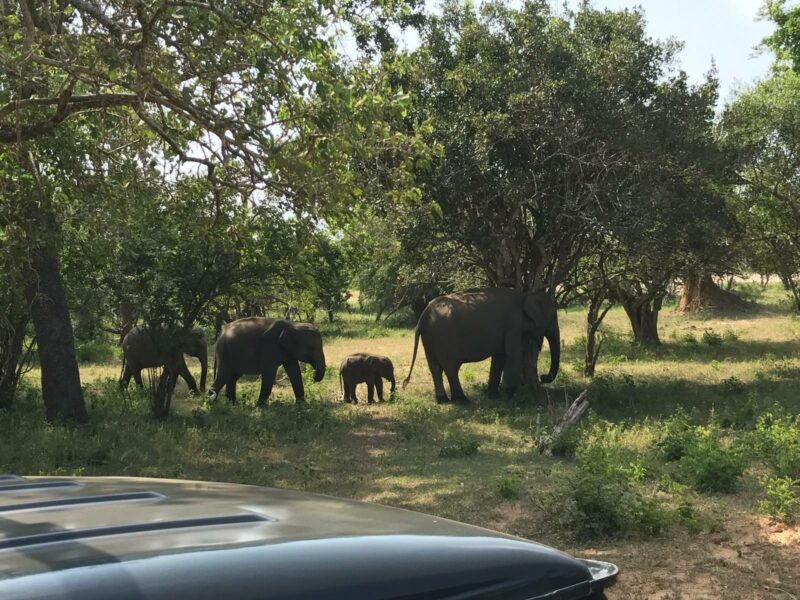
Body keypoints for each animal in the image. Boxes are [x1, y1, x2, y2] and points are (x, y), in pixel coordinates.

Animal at [404, 286, 560, 404]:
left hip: (429, 338)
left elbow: (499, 357)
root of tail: (423, 315)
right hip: (443, 339)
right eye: (553, 317)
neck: (526, 295)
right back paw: (463, 401)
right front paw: (511, 396)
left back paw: (443, 401)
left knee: (435, 368)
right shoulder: (514, 323)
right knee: (451, 368)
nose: (543, 377)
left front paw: (494, 396)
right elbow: (514, 354)